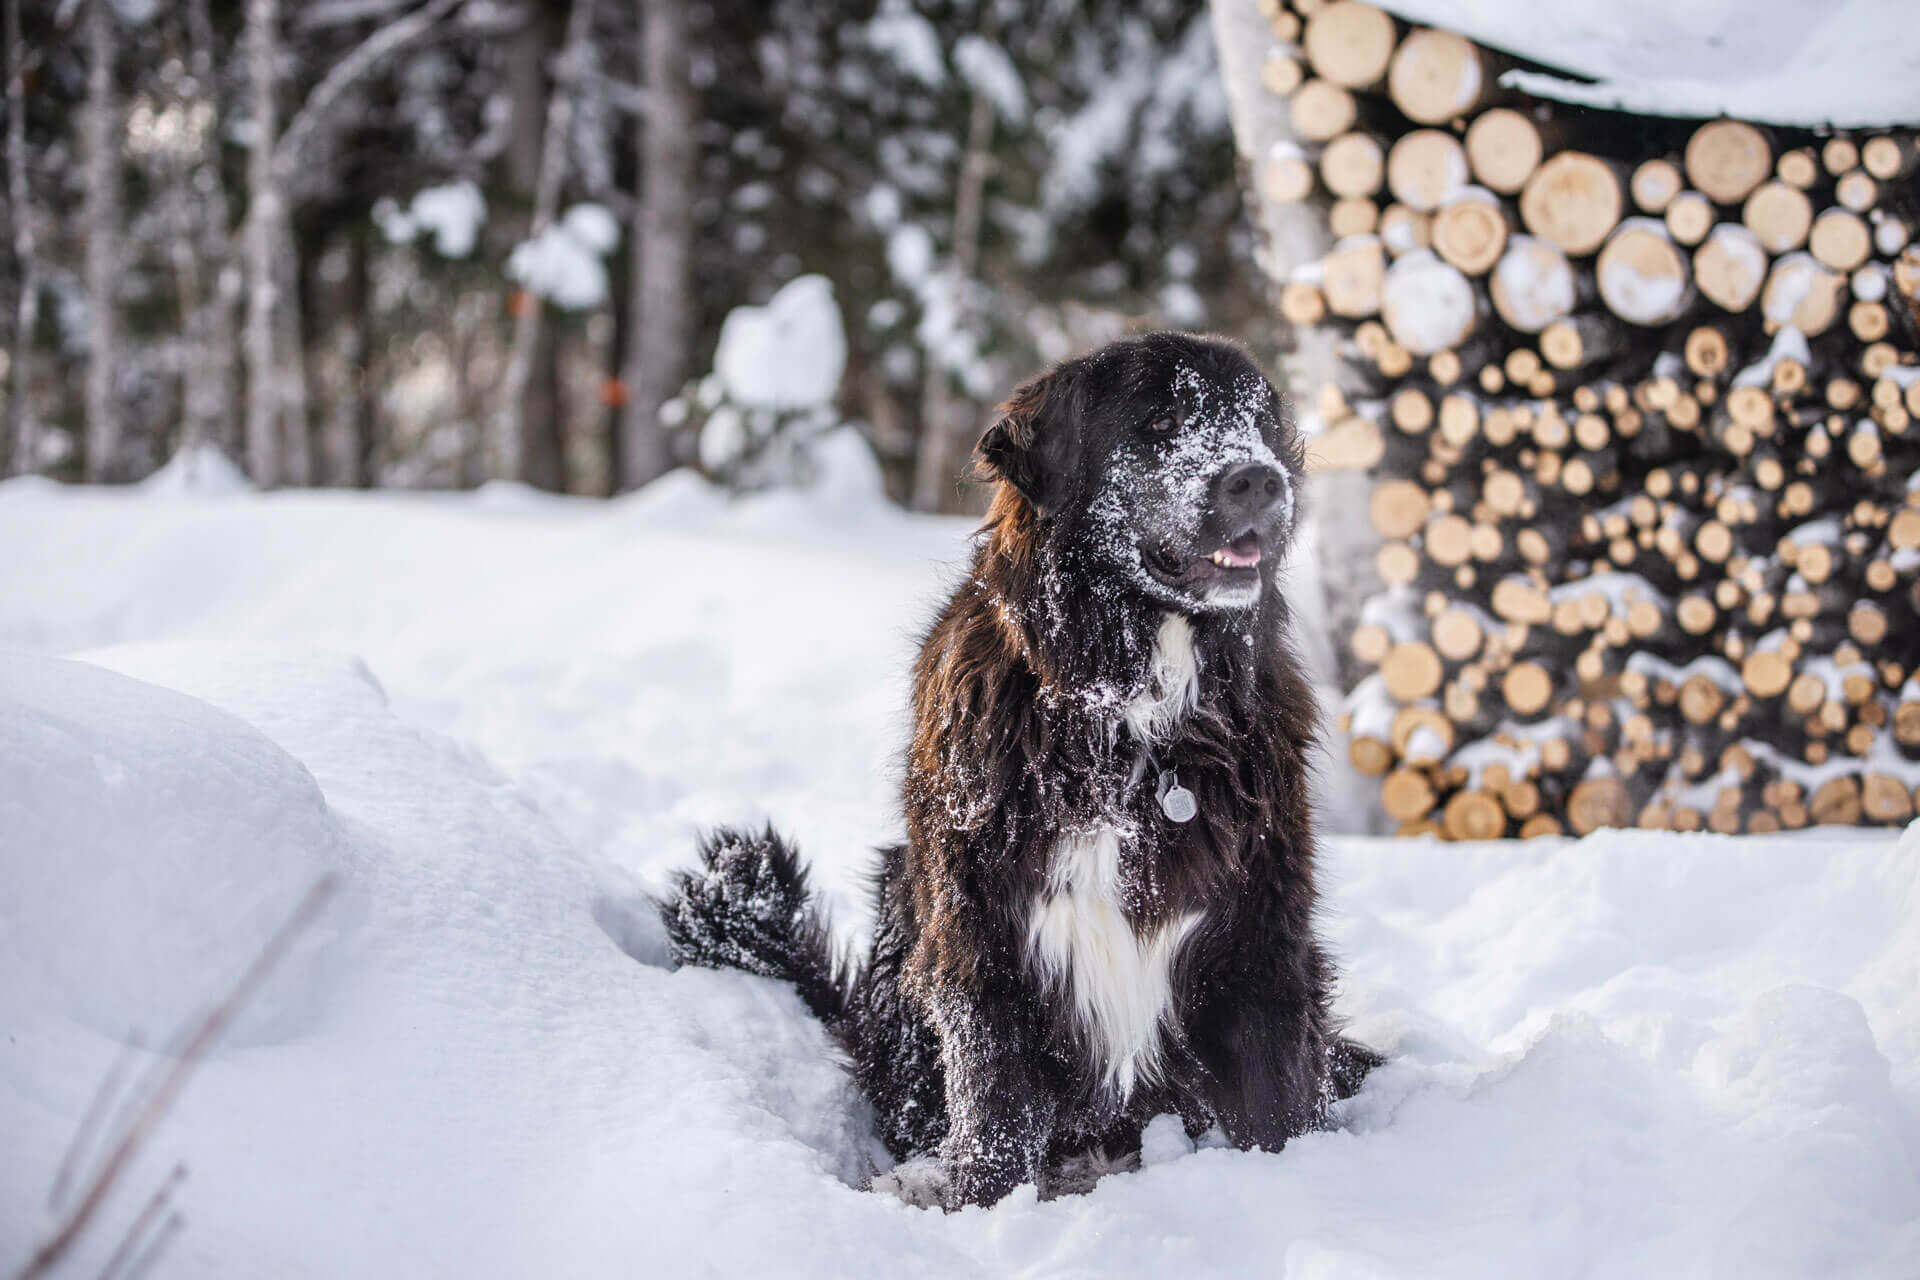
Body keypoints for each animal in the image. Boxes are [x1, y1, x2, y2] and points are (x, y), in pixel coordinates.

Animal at [668, 333, 1374, 1212]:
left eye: (1257, 421)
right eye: (1161, 420)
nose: (1259, 479)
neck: (1127, 716)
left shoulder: (1263, 930)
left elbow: (1276, 1095)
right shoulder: (981, 932)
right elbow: (995, 1103)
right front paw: (985, 1205)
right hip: (903, 931)